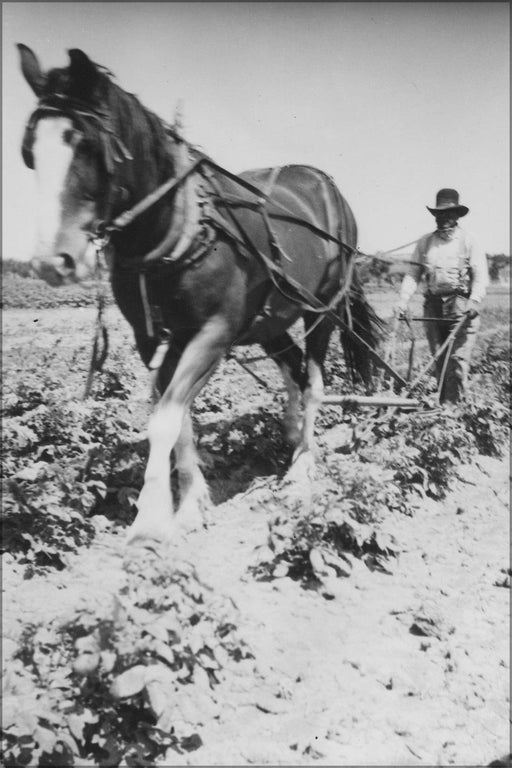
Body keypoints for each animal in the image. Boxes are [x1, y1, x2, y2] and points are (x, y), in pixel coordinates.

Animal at [18, 45, 384, 544]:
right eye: (30, 151)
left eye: (86, 144)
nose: (51, 263)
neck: (179, 229)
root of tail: (327, 186)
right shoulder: (154, 339)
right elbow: (181, 419)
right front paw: (191, 504)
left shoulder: (213, 333)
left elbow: (166, 419)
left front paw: (151, 520)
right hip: (270, 317)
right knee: (292, 368)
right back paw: (289, 438)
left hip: (322, 308)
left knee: (313, 381)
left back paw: (303, 463)